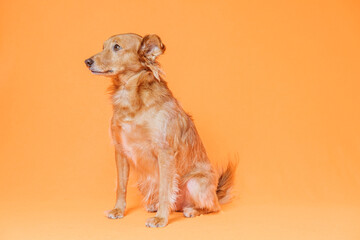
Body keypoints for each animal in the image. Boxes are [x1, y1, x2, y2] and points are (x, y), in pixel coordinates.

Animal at [84, 33, 236, 227]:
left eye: (117, 47)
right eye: (103, 47)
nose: (87, 61)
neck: (130, 98)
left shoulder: (165, 153)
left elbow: (165, 190)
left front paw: (161, 219)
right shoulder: (121, 151)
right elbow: (121, 186)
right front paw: (118, 210)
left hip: (195, 183)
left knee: (213, 207)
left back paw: (192, 210)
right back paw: (156, 206)